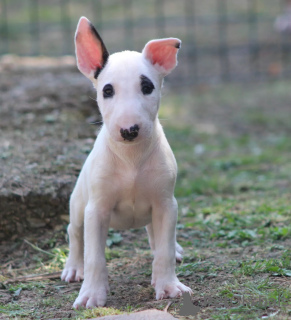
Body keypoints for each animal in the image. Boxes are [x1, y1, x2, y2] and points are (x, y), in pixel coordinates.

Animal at [61, 16, 193, 308]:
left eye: (147, 87)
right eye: (107, 90)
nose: (129, 130)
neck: (131, 158)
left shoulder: (166, 203)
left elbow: (164, 249)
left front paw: (169, 286)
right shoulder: (96, 209)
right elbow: (95, 257)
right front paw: (91, 294)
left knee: (157, 235)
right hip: (78, 204)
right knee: (74, 232)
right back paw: (74, 267)